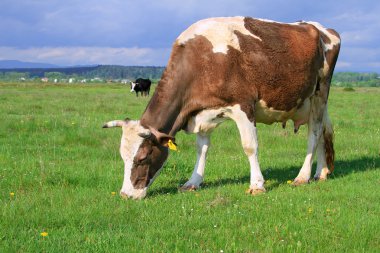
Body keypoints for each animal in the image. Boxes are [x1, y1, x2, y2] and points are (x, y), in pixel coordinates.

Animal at [102, 16, 340, 201]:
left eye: (142, 157)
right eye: (123, 157)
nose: (125, 195)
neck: (202, 60)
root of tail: (322, 29)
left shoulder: (243, 105)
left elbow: (250, 146)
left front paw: (257, 185)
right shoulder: (202, 113)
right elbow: (202, 148)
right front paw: (193, 181)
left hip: (320, 93)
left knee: (314, 133)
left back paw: (302, 176)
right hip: (309, 102)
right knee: (322, 131)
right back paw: (321, 173)